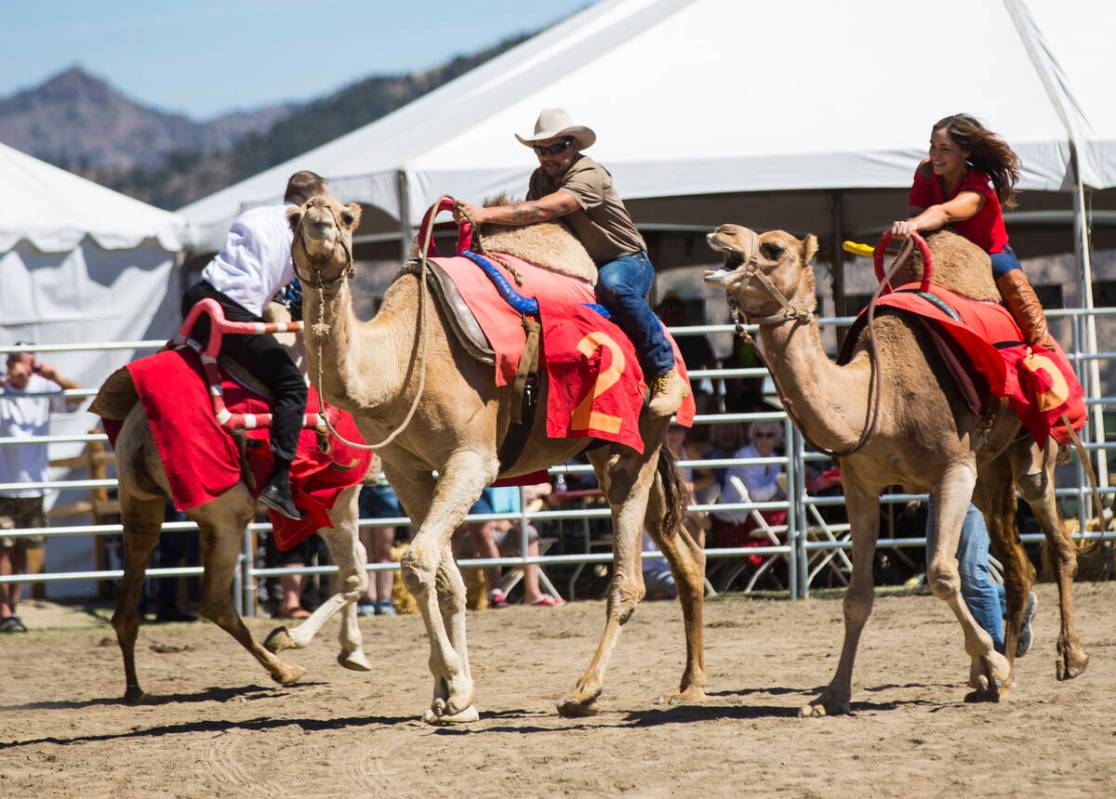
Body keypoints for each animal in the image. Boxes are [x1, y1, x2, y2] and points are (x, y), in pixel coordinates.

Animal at [91, 303, 370, 700]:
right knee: (215, 601)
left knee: (127, 607)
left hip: (138, 508)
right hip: (227, 518)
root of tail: (143, 435)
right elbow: (354, 576)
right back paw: (283, 669)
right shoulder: (338, 493)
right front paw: (290, 637)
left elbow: (356, 564)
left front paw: (352, 651)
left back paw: (134, 690)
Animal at [287, 193, 705, 723]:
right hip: (606, 450)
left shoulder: (472, 458)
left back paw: (584, 691)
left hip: (637, 443)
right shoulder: (406, 470)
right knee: (687, 553)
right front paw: (449, 696)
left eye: (345, 216)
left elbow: (418, 562)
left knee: (629, 576)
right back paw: (690, 686)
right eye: (294, 218)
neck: (401, 363)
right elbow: (447, 578)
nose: (318, 218)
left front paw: (456, 687)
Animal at [705, 226, 1089, 718]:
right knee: (1019, 565)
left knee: (1057, 542)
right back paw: (997, 677)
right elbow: (857, 597)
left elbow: (942, 574)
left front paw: (995, 665)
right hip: (989, 473)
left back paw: (1067, 658)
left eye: (774, 249)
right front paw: (831, 696)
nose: (723, 233)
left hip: (1031, 452)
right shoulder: (860, 485)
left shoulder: (953, 469)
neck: (880, 397)